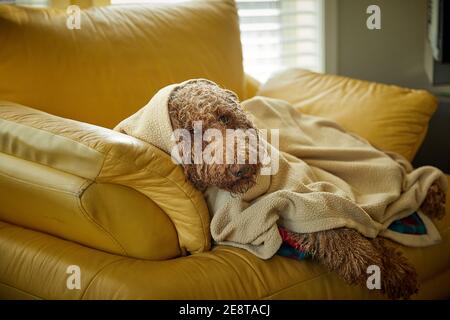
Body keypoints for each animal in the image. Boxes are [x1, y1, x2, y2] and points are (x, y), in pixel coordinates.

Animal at [167, 79, 444, 300]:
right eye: (192, 132)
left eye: (224, 117)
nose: (242, 166)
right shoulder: (288, 204)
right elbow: (333, 233)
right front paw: (377, 265)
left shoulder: (302, 189)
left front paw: (393, 269)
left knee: (398, 167)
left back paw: (433, 192)